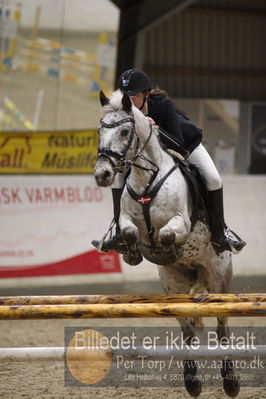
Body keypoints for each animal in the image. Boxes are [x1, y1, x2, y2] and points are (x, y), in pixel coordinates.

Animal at [93, 89, 239, 398]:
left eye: (125, 131)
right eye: (100, 130)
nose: (102, 175)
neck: (146, 179)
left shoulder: (181, 222)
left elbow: (167, 235)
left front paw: (170, 250)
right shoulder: (127, 219)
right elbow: (130, 232)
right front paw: (132, 254)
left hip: (219, 279)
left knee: (222, 328)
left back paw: (231, 381)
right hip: (174, 285)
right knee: (187, 330)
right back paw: (192, 381)